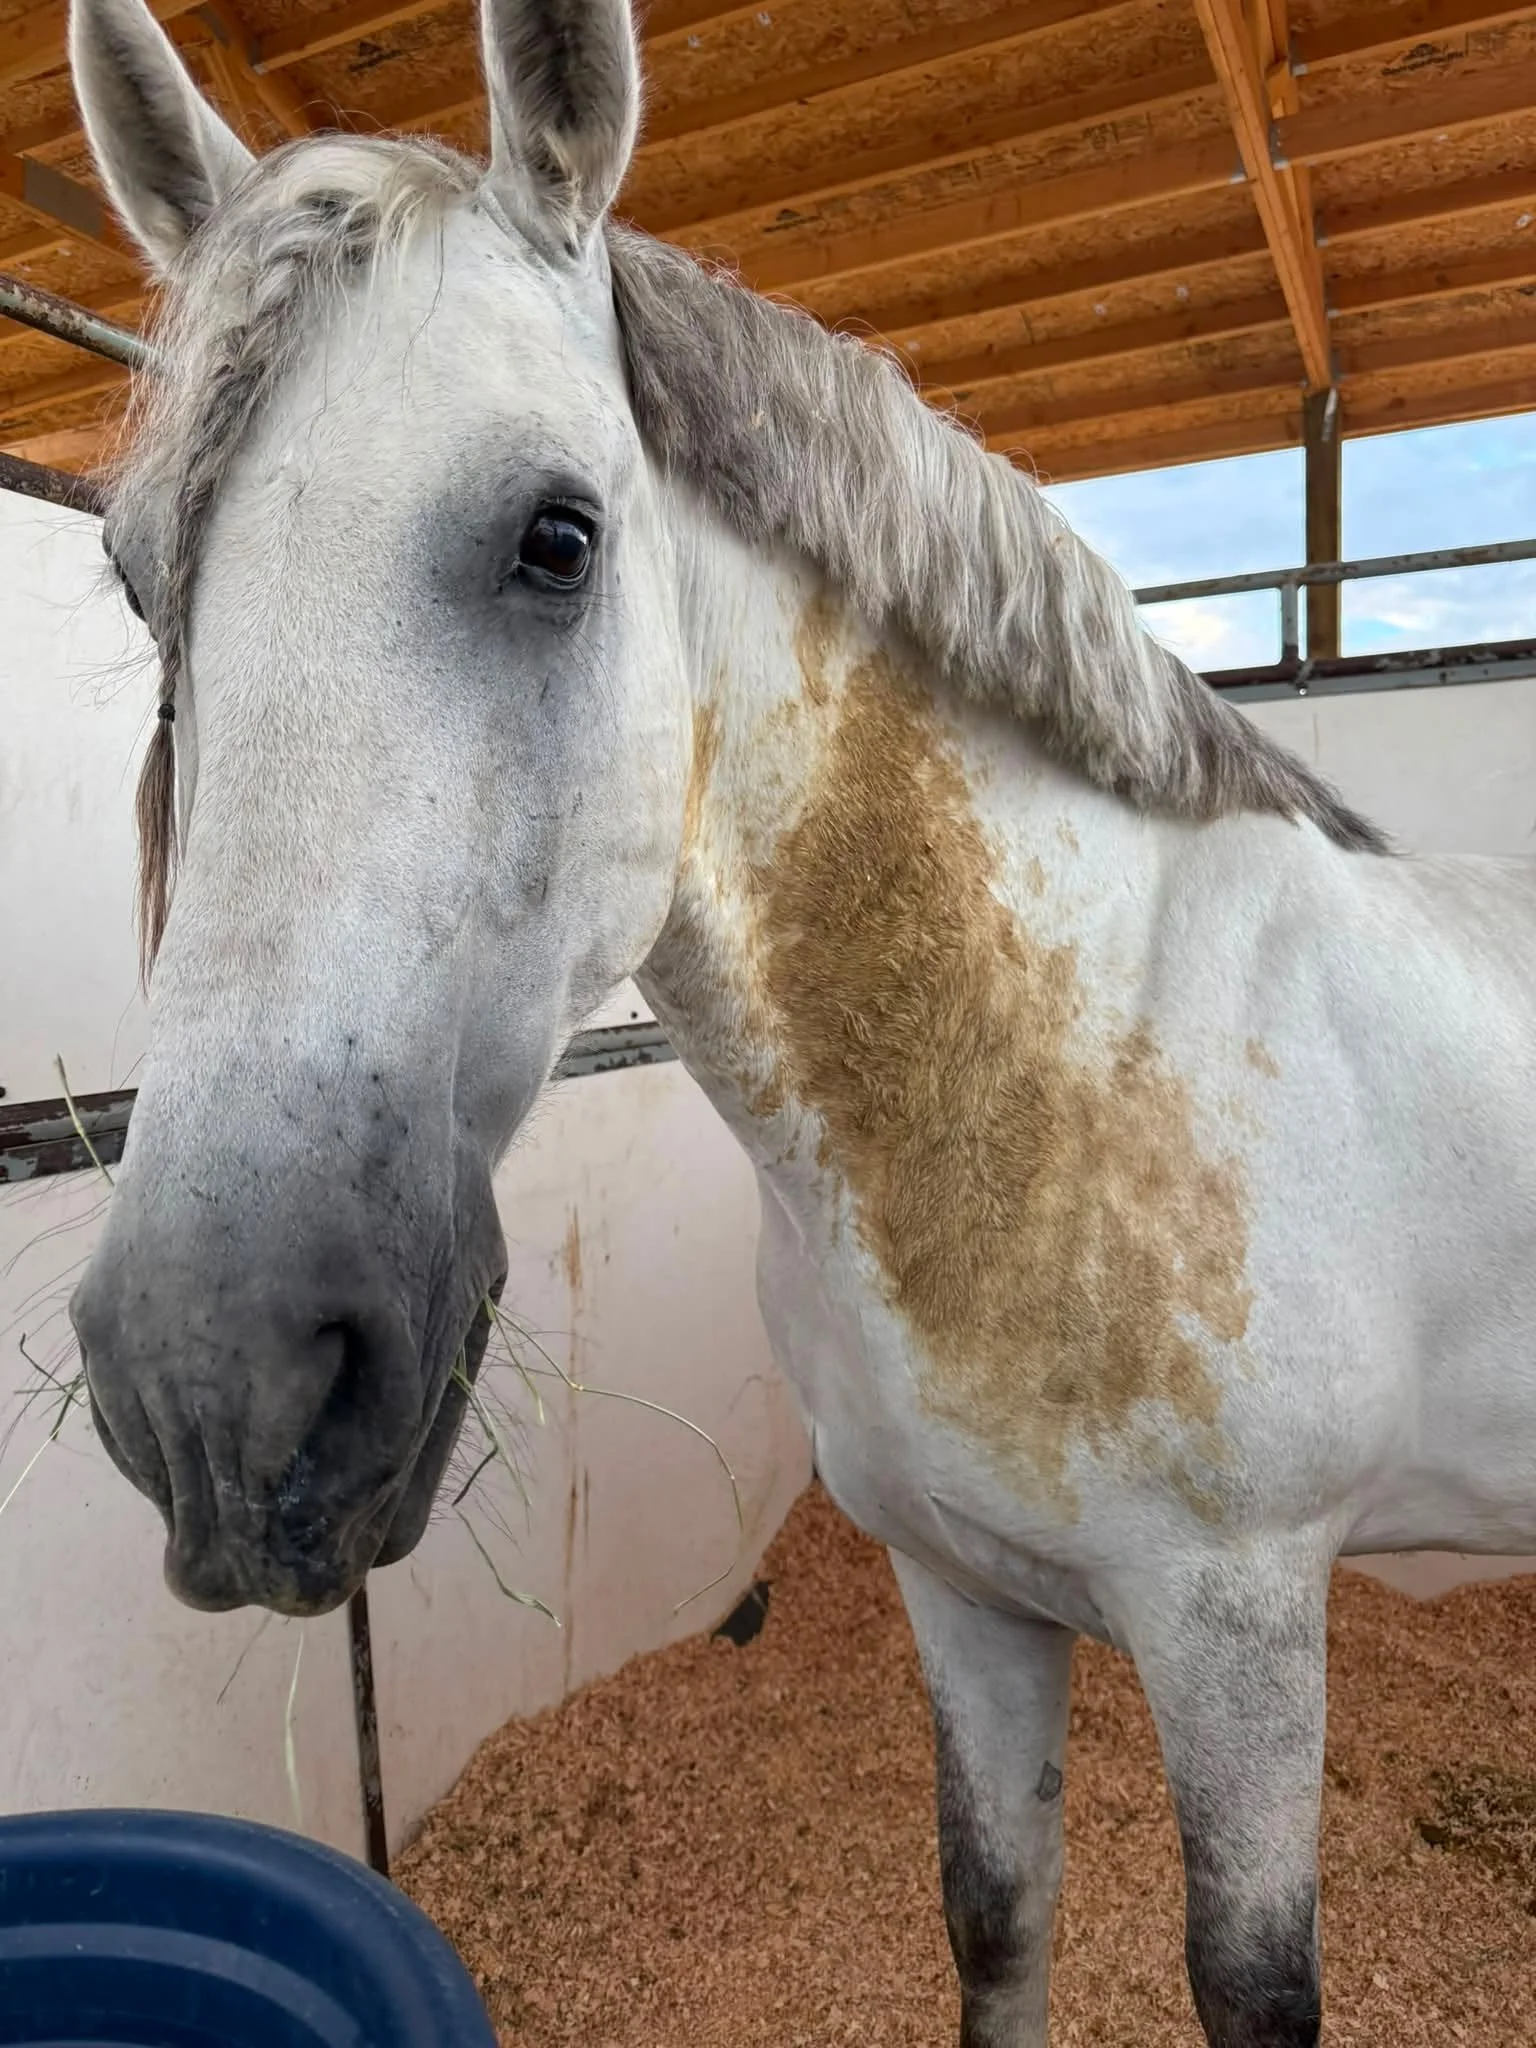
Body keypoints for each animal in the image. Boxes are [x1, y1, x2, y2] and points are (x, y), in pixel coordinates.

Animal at [64, 0, 1536, 2040]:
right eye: (143, 575)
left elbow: (1251, 1987)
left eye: (558, 536)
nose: (221, 1384)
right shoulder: (961, 1591)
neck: (1055, 1084)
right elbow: (994, 1910)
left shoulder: (1244, 1625)